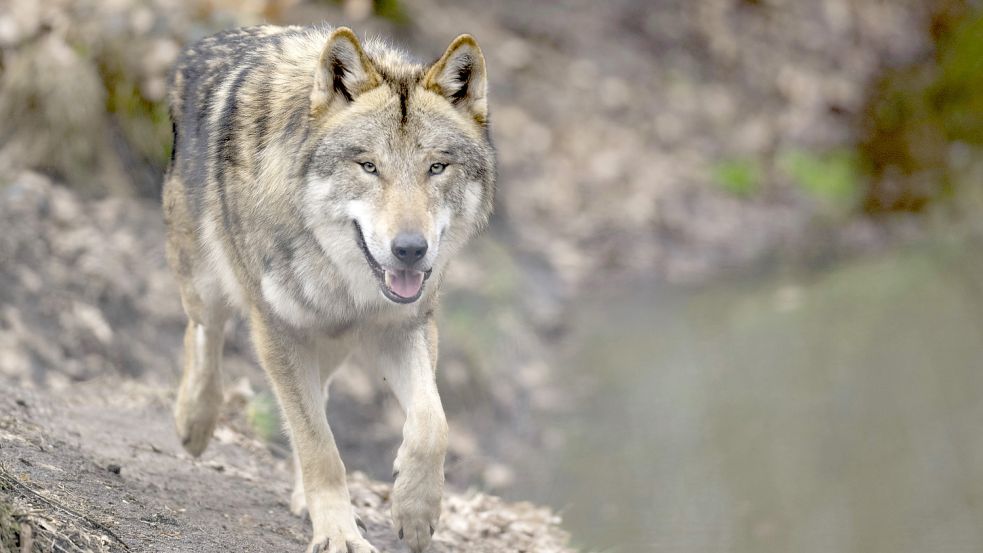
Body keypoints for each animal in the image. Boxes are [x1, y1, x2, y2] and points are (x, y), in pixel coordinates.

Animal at [162, 24, 495, 552]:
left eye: (437, 168)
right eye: (368, 166)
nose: (410, 250)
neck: (344, 278)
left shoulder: (405, 327)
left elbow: (431, 423)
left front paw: (415, 510)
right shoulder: (277, 332)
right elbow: (318, 446)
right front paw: (339, 533)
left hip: (331, 342)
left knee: (319, 394)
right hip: (206, 283)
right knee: (203, 334)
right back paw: (194, 420)